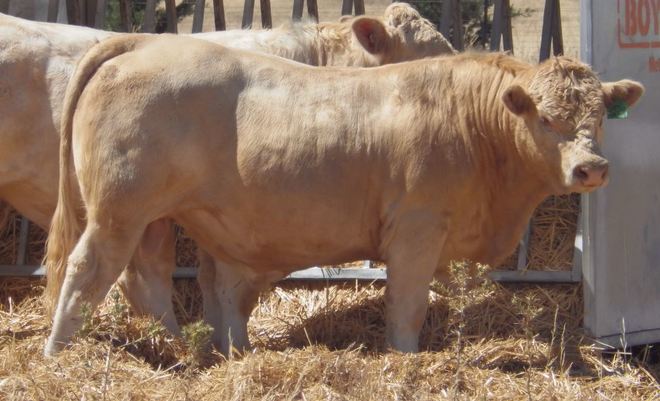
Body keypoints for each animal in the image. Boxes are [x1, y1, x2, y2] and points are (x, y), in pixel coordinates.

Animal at [42, 32, 643, 356]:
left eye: (599, 117)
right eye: (546, 118)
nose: (591, 168)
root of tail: (146, 44)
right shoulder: (417, 228)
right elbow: (407, 305)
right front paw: (404, 358)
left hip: (161, 219)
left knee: (153, 280)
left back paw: (192, 349)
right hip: (118, 212)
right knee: (87, 271)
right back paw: (58, 353)